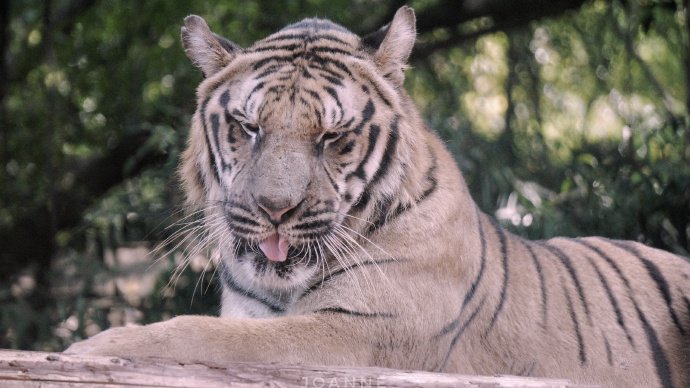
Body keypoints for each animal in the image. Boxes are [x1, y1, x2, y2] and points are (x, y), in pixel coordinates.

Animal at [66, 6, 688, 388]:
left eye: (332, 137)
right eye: (247, 127)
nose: (274, 211)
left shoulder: (356, 333)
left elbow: (201, 335)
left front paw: (88, 351)